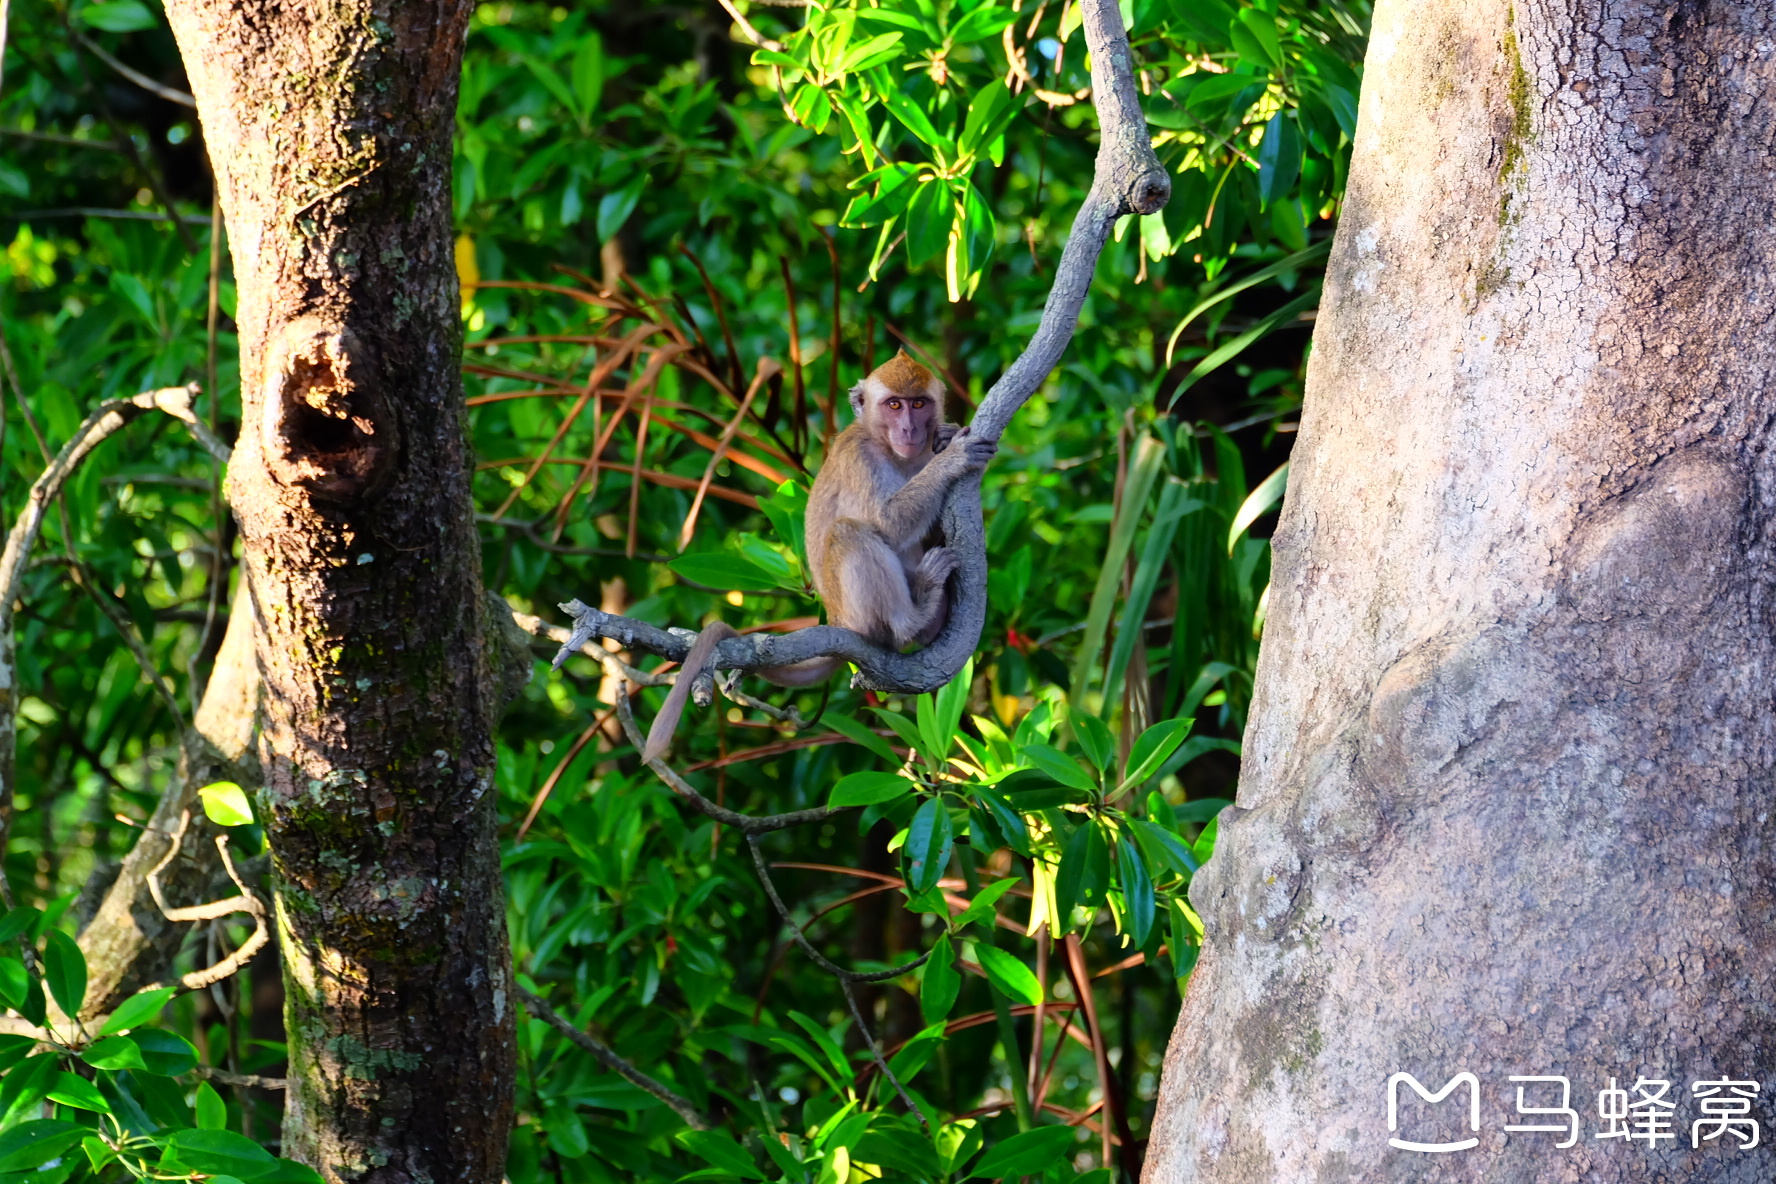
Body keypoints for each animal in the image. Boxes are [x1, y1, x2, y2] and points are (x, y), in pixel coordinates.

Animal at [642, 347, 1001, 763]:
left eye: (919, 403)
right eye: (894, 405)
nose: (910, 430)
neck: (891, 449)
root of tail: (836, 617)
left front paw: (943, 437)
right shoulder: (860, 457)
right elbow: (886, 522)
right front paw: (953, 457)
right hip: (857, 612)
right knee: (849, 533)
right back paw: (915, 615)